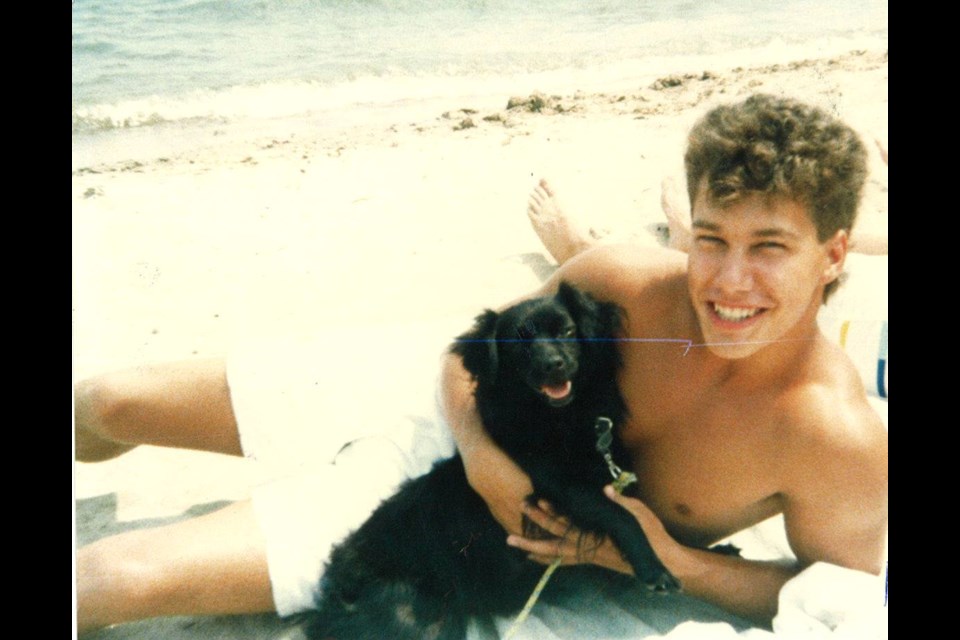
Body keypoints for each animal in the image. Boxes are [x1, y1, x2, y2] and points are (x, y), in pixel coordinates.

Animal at [306, 282, 676, 636]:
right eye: (517, 344)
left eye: (568, 331)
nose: (551, 365)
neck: (559, 419)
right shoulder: (557, 484)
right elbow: (619, 514)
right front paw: (655, 568)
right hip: (412, 621)